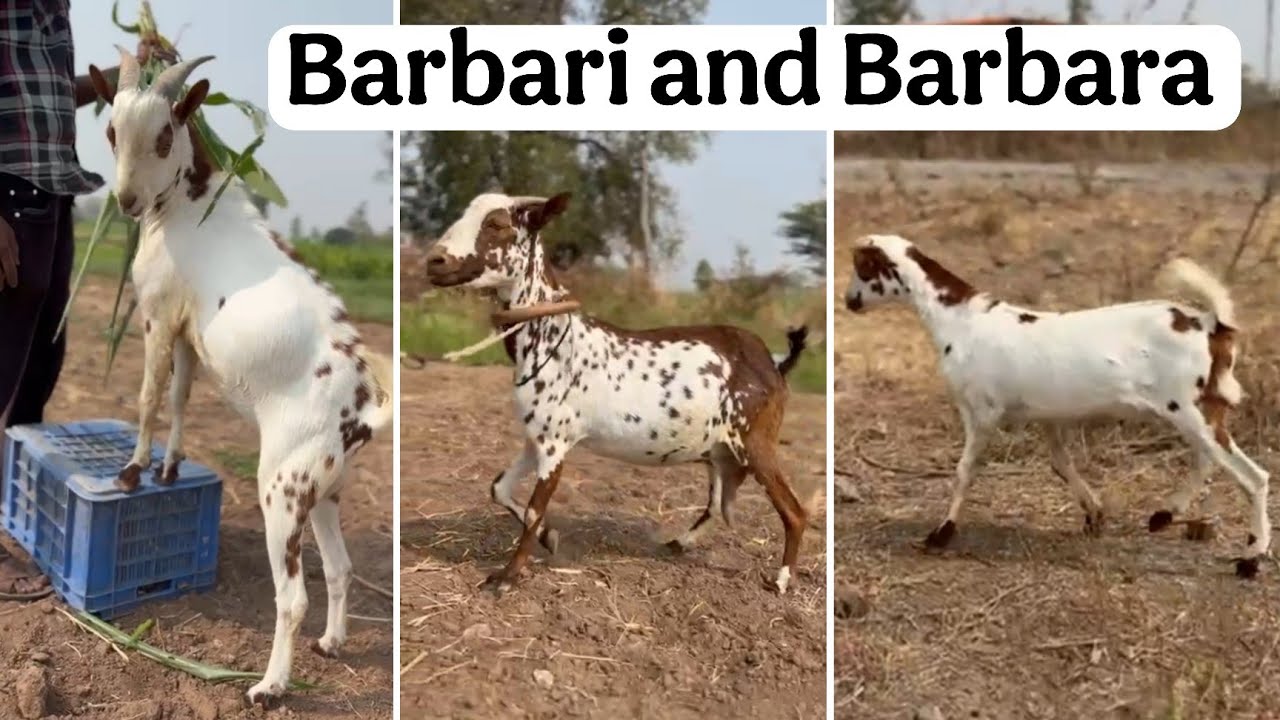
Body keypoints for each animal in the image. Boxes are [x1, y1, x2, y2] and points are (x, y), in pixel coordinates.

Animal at [88, 51, 393, 706]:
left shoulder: (158, 314)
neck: (191, 206)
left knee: (293, 595)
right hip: (325, 488)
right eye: (111, 131)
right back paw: (331, 644)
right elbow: (181, 395)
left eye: (165, 135)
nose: (126, 200)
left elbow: (150, 395)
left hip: (282, 483)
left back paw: (269, 687)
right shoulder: (188, 333)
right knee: (340, 567)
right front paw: (168, 467)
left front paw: (132, 471)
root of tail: (361, 404)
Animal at [423, 192, 812, 594]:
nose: (434, 261)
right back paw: (680, 542)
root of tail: (774, 363)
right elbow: (498, 488)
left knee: (795, 511)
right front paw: (550, 538)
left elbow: (533, 510)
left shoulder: (555, 443)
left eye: (497, 224)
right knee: (718, 502)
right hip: (719, 449)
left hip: (755, 441)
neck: (552, 336)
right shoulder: (535, 438)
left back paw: (782, 579)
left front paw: (508, 576)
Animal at [844, 234, 1270, 578]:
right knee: (1207, 460)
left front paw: (940, 533)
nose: (849, 301)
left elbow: (965, 470)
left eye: (863, 269)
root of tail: (1212, 324)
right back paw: (1163, 515)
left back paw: (1250, 559)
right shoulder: (1050, 416)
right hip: (1193, 410)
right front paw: (1094, 515)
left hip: (1188, 408)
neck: (960, 319)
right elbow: (1060, 463)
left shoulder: (980, 412)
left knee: (1252, 476)